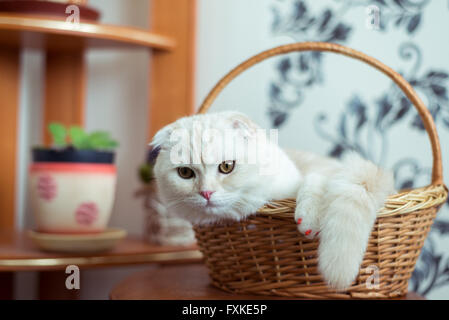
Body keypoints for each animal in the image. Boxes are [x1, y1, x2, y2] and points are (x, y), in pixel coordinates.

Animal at [150, 110, 392, 290]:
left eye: (227, 166)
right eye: (185, 173)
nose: (206, 193)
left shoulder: (315, 176)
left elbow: (312, 183)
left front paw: (308, 221)